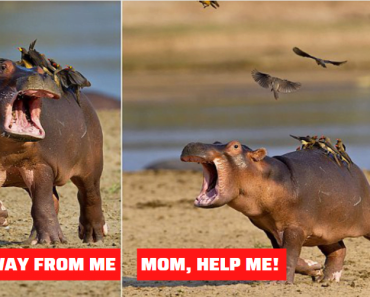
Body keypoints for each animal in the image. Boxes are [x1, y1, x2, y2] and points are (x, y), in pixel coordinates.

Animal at [0, 57, 107, 243]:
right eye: (2, 66)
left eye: (40, 70)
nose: (39, 75)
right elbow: (45, 203)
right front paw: (3, 215)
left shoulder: (40, 165)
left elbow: (42, 204)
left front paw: (54, 240)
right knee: (54, 200)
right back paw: (33, 240)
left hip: (91, 166)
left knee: (89, 196)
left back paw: (93, 237)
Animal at [182, 140, 370, 284]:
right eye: (215, 142)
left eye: (235, 146)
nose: (194, 144)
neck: (266, 176)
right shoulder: (270, 229)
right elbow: (283, 253)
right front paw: (314, 268)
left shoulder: (295, 228)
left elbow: (289, 255)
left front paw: (282, 283)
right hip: (324, 232)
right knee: (338, 250)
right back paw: (328, 280)